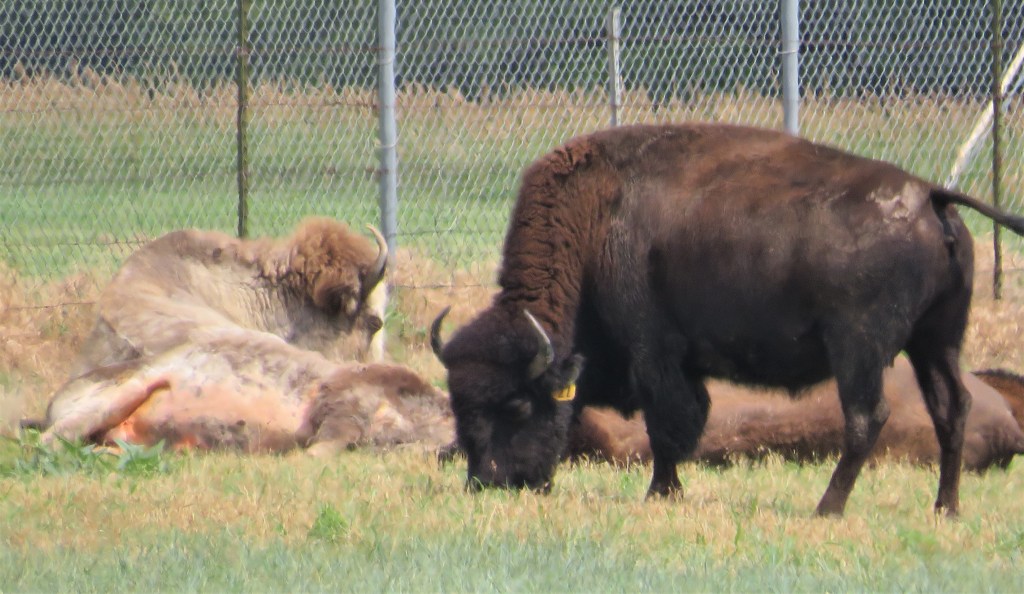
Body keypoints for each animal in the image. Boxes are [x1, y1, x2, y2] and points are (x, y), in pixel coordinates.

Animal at [431, 122, 1024, 516]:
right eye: (458, 404)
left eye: (514, 404)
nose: (487, 482)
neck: (596, 222)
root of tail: (929, 196)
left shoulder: (655, 353)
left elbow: (667, 425)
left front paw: (660, 494)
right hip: (936, 342)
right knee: (951, 408)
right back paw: (945, 508)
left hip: (859, 347)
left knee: (865, 418)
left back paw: (826, 508)